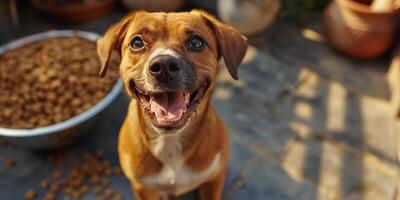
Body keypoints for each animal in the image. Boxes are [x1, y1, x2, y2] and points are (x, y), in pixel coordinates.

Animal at [97, 9, 247, 200]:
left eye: (196, 42)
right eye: (137, 42)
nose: (164, 66)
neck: (170, 140)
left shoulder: (213, 179)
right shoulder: (143, 188)